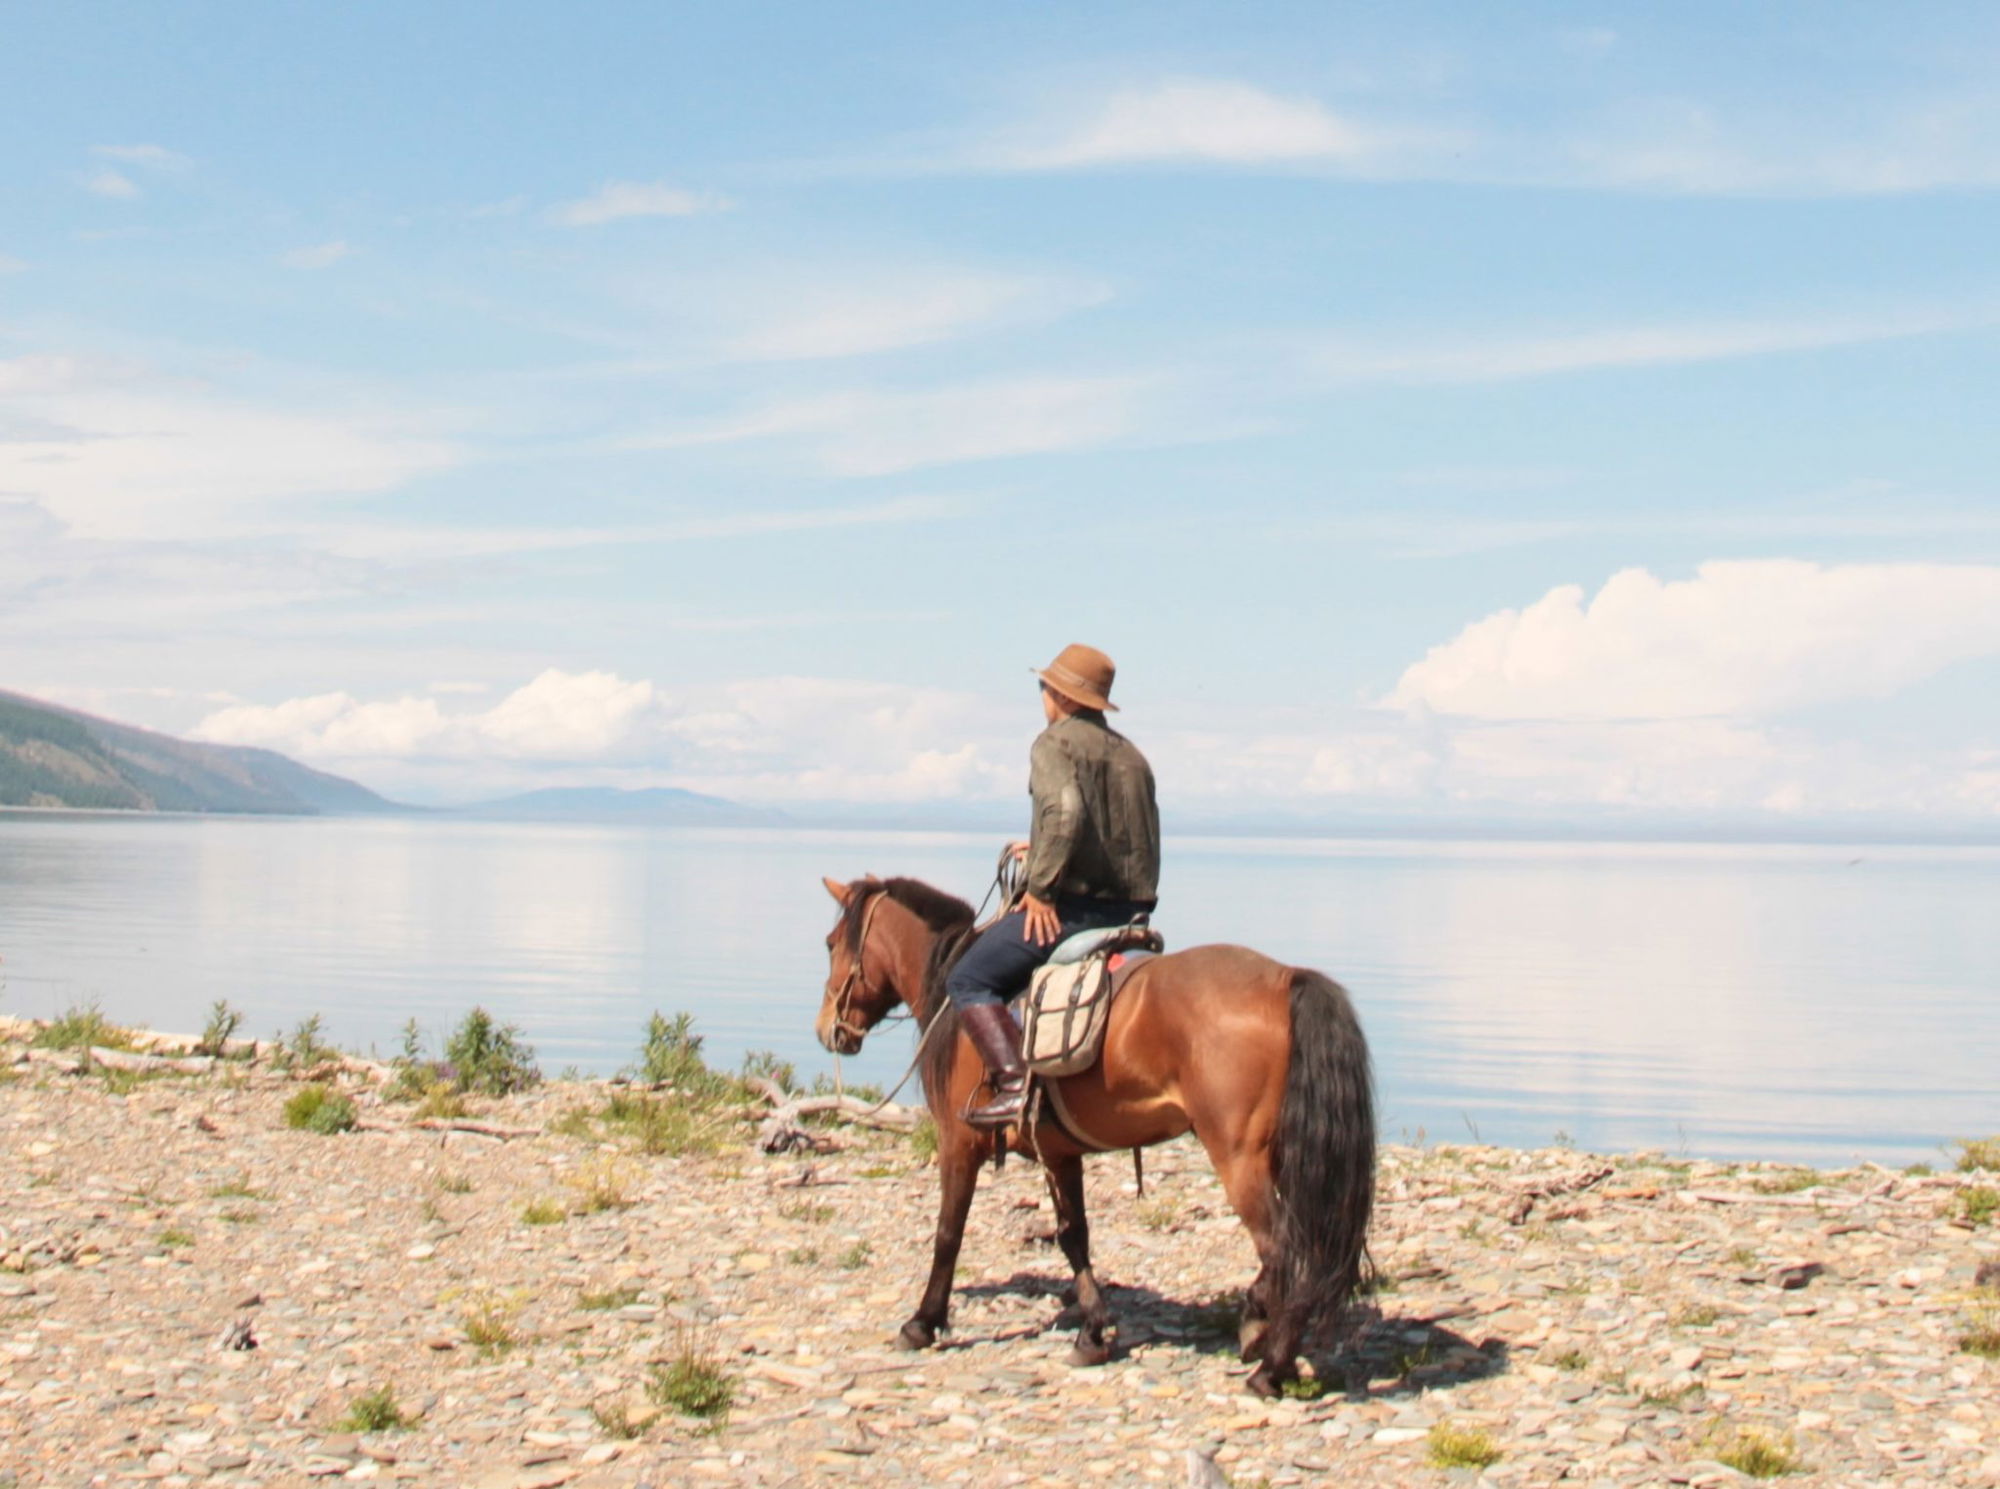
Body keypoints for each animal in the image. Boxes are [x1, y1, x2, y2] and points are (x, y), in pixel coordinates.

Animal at [814, 872, 1375, 1397]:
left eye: (831, 941)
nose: (828, 1030)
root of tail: (1285, 979)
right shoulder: (1058, 1153)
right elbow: (1073, 1236)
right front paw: (1093, 1331)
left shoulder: (959, 1142)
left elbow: (948, 1233)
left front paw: (923, 1322)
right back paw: (1260, 1325)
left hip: (1239, 1160)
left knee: (1286, 1253)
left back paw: (1271, 1367)